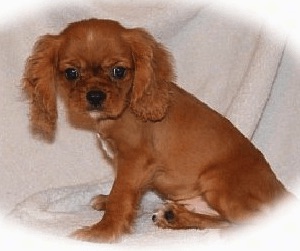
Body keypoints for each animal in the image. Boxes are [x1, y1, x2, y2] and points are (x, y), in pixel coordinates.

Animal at [24, 19, 292, 243]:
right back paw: (175, 217)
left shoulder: (135, 160)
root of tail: (283, 193)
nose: (95, 96)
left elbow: (121, 194)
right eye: (71, 73)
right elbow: (120, 191)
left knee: (242, 222)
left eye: (118, 71)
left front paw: (102, 231)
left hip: (218, 185)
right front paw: (106, 203)